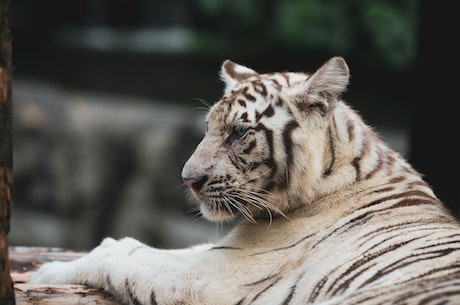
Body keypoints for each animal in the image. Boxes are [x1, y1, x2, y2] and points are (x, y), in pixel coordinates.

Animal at [28, 57, 460, 304]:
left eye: (238, 133)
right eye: (207, 128)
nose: (187, 179)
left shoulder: (218, 277)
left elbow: (129, 262)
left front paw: (47, 272)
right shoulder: (223, 251)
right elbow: (152, 249)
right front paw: (109, 243)